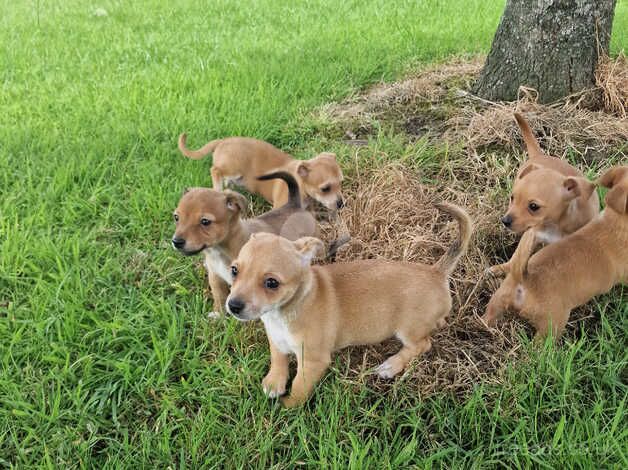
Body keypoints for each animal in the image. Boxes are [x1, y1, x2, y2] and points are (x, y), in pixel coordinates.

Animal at [177, 134, 346, 211]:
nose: (341, 204)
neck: (300, 184)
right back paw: (218, 188)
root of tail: (223, 141)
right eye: (325, 188)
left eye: (341, 183)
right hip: (234, 167)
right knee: (215, 170)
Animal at [224, 204, 472, 406]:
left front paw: (287, 409)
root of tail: (436, 272)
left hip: (409, 330)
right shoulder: (276, 340)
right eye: (234, 270)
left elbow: (299, 387)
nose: (233, 305)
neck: (283, 313)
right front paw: (274, 382)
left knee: (422, 344)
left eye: (271, 283)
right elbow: (278, 359)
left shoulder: (312, 360)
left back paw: (391, 366)